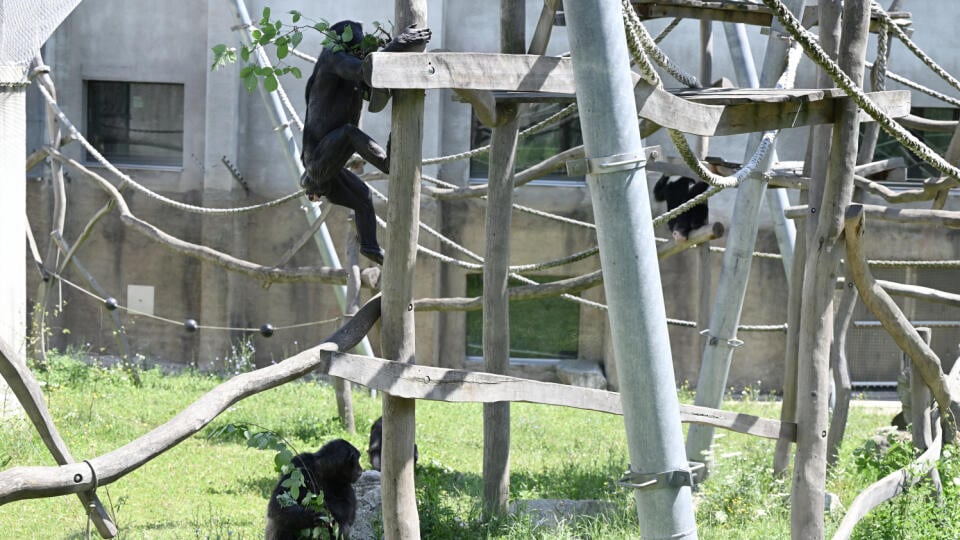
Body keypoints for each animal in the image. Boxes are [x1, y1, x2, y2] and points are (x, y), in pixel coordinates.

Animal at [300, 20, 432, 264]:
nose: (366, 38)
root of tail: (307, 183)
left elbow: (369, 83)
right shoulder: (337, 58)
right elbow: (365, 69)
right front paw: (404, 39)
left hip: (333, 182)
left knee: (362, 197)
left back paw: (371, 249)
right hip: (318, 168)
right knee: (348, 133)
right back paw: (387, 164)